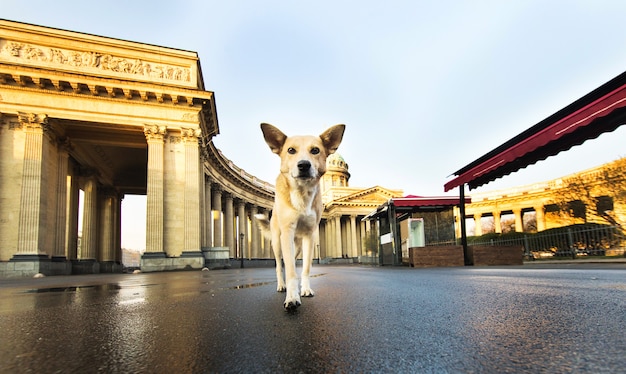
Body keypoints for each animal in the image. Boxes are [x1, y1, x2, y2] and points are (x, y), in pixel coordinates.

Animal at [254, 122, 344, 310]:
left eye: (315, 150)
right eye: (291, 150)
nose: (303, 165)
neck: (302, 193)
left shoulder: (310, 235)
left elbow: (305, 268)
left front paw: (305, 289)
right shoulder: (287, 232)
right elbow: (288, 270)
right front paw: (292, 297)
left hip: (298, 246)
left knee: (294, 262)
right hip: (278, 242)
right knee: (279, 265)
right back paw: (282, 285)